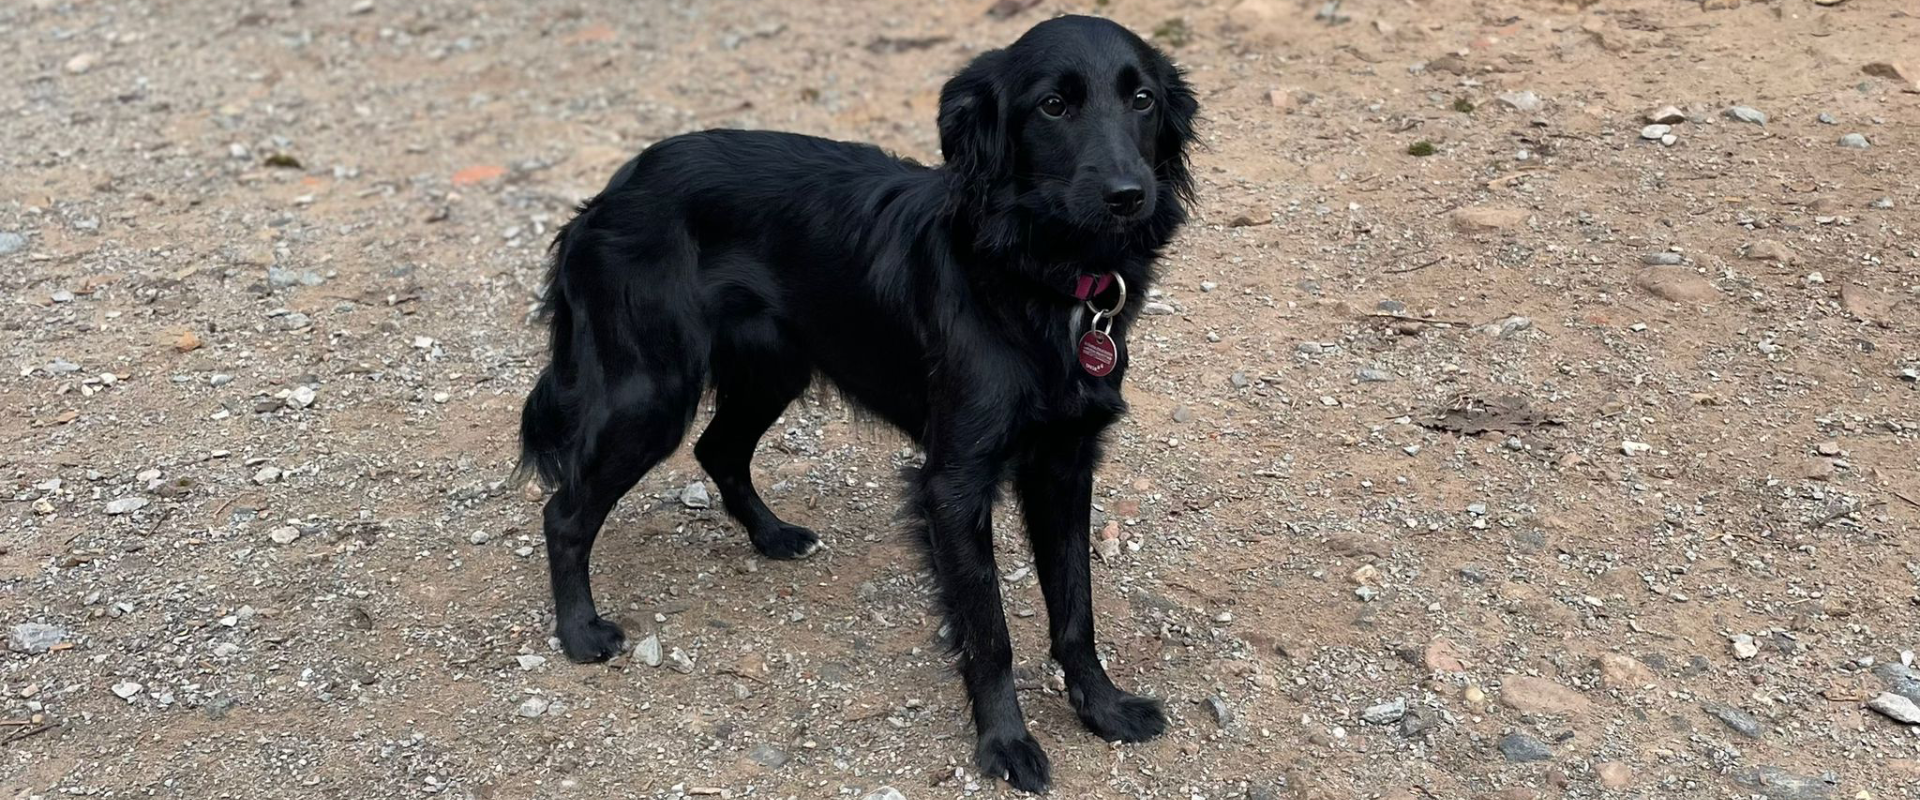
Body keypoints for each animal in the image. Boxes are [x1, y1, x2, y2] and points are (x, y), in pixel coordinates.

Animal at [517, 15, 1196, 792]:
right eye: (1053, 106)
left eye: (1142, 99)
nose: (1128, 195)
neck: (1035, 274)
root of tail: (605, 197)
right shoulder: (953, 483)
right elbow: (988, 631)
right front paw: (1005, 744)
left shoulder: (1064, 464)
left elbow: (1076, 606)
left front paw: (1104, 709)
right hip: (648, 395)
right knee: (565, 511)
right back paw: (578, 632)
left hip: (773, 368)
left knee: (718, 449)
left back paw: (773, 536)